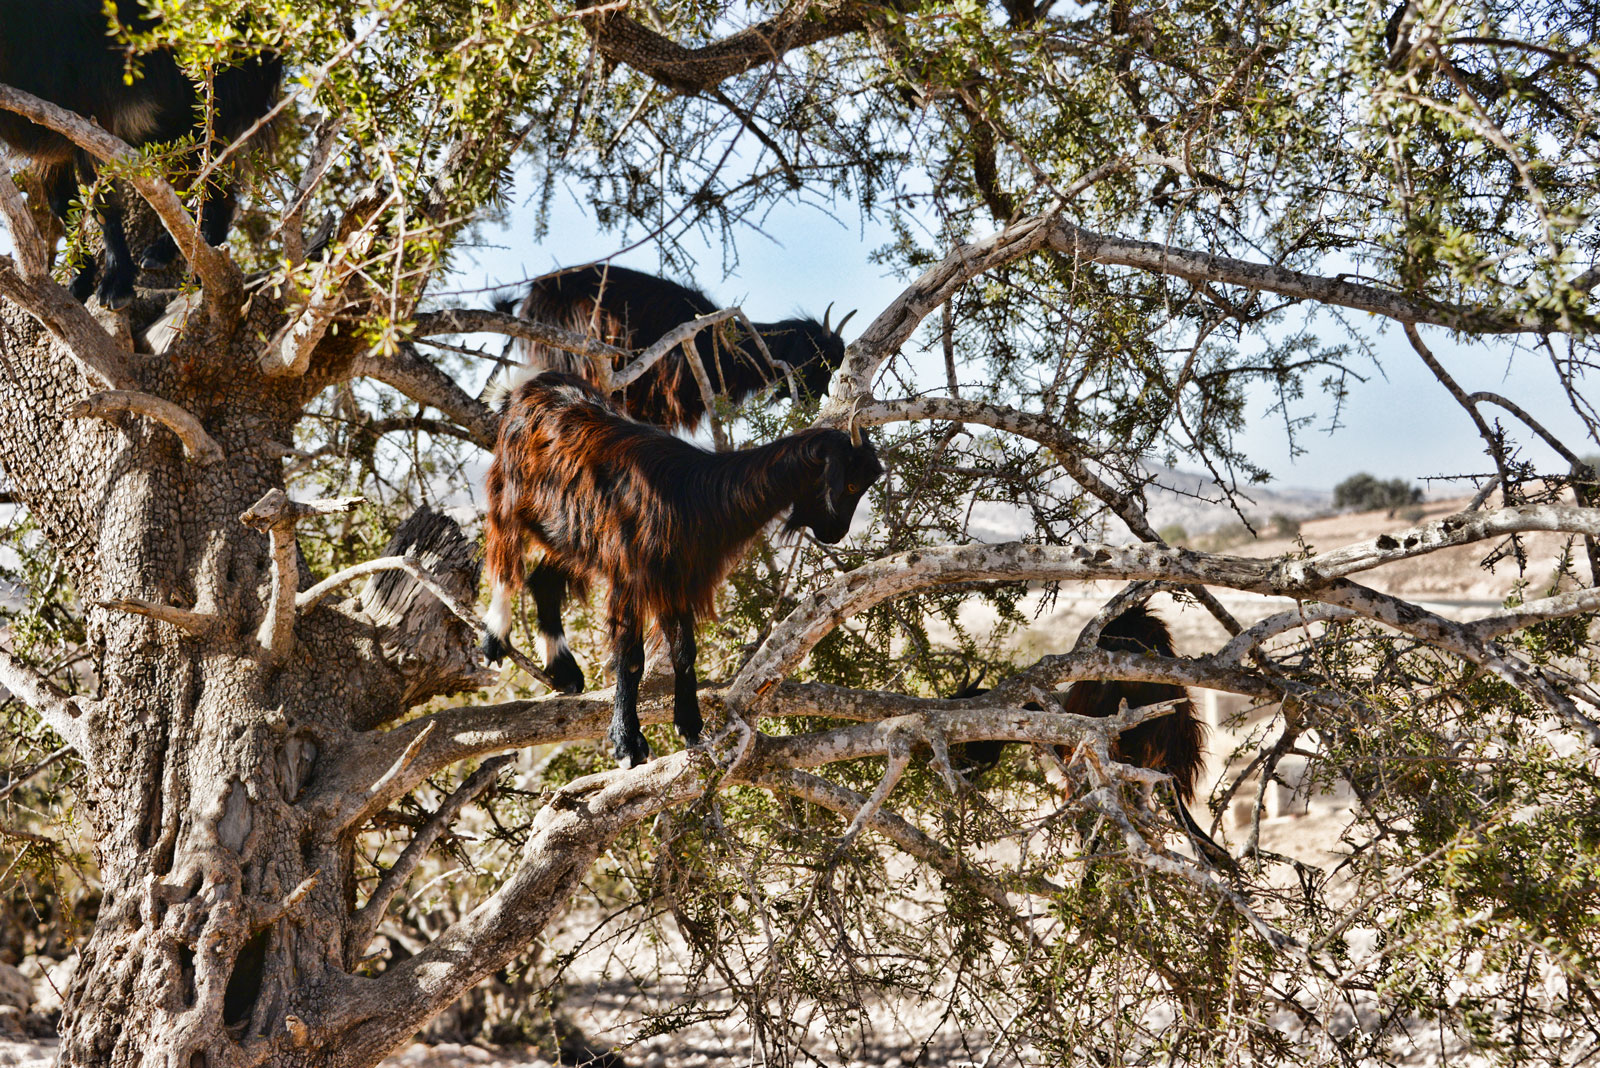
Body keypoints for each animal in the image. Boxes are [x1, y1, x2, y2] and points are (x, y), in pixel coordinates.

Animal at [0, 0, 281, 308]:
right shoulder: (48, 129)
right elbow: (63, 204)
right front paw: (79, 281)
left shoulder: (90, 115)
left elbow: (103, 204)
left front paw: (115, 284)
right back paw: (167, 253)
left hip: (214, 106)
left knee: (212, 185)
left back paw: (199, 270)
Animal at [480, 370, 883, 764]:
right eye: (849, 484)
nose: (836, 533)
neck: (695, 494)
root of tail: (527, 388)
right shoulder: (632, 575)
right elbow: (630, 659)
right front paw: (627, 742)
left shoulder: (677, 581)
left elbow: (685, 652)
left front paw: (689, 725)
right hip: (510, 495)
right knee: (504, 565)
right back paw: (494, 638)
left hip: (571, 535)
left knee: (542, 582)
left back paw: (563, 669)